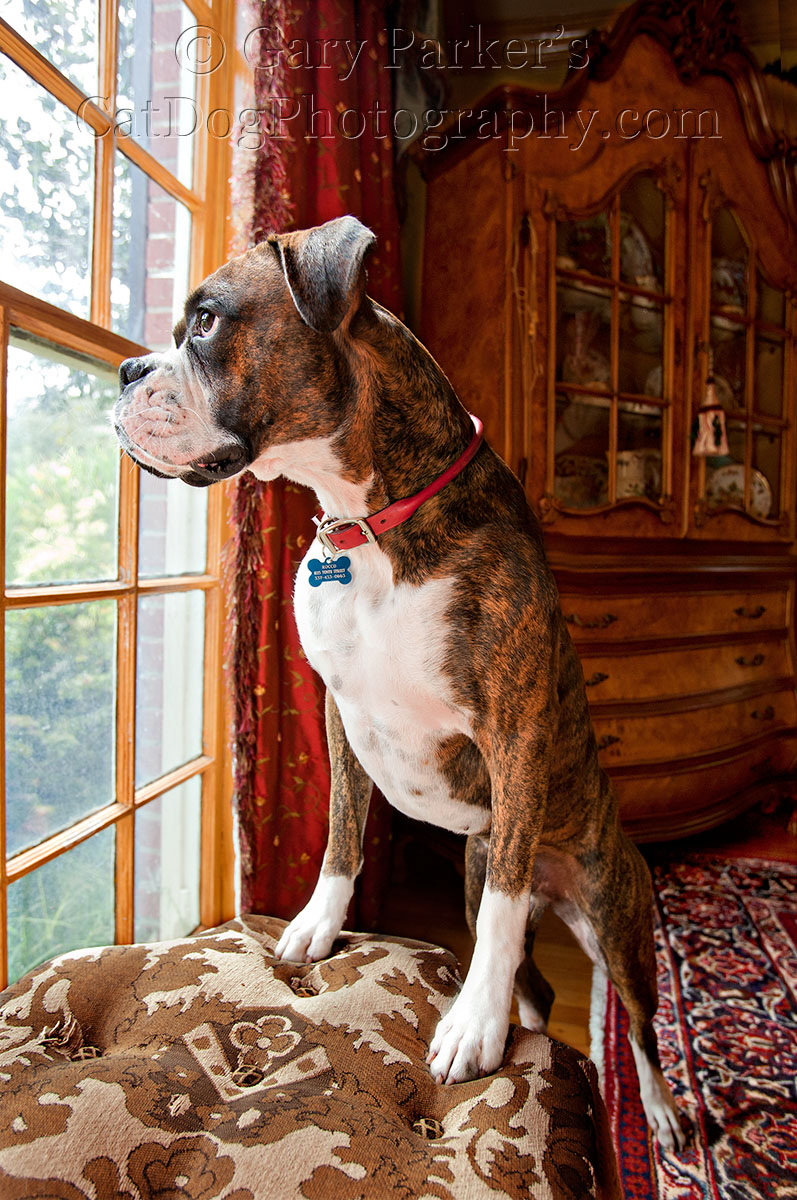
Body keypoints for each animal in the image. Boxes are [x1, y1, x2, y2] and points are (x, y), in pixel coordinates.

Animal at [113, 211, 686, 1147]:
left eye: (204, 323)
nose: (127, 371)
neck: (370, 523)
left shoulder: (515, 735)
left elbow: (502, 908)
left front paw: (472, 1025)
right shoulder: (339, 712)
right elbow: (341, 834)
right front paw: (317, 926)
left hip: (611, 913)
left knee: (634, 1019)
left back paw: (660, 1109)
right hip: (483, 877)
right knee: (539, 980)